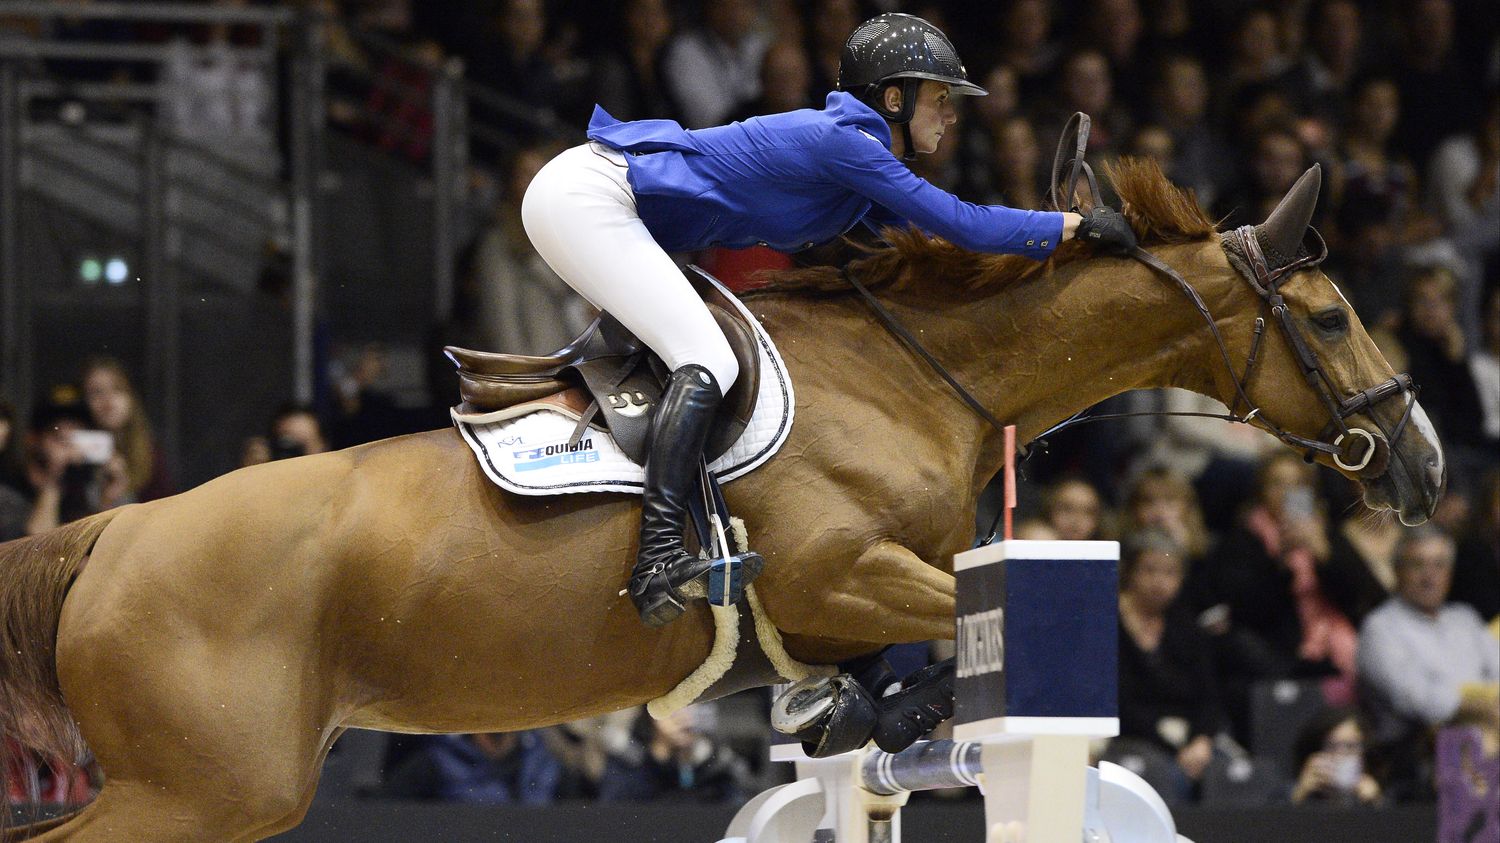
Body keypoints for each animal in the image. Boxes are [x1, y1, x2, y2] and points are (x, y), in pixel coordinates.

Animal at [2, 160, 1440, 834]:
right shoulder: (837, 569)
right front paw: (869, 702)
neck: (923, 371)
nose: (1423, 458)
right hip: (203, 792)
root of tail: (115, 530)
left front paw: (852, 707)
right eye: (1329, 313)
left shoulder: (856, 598)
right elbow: (942, 636)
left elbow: (896, 678)